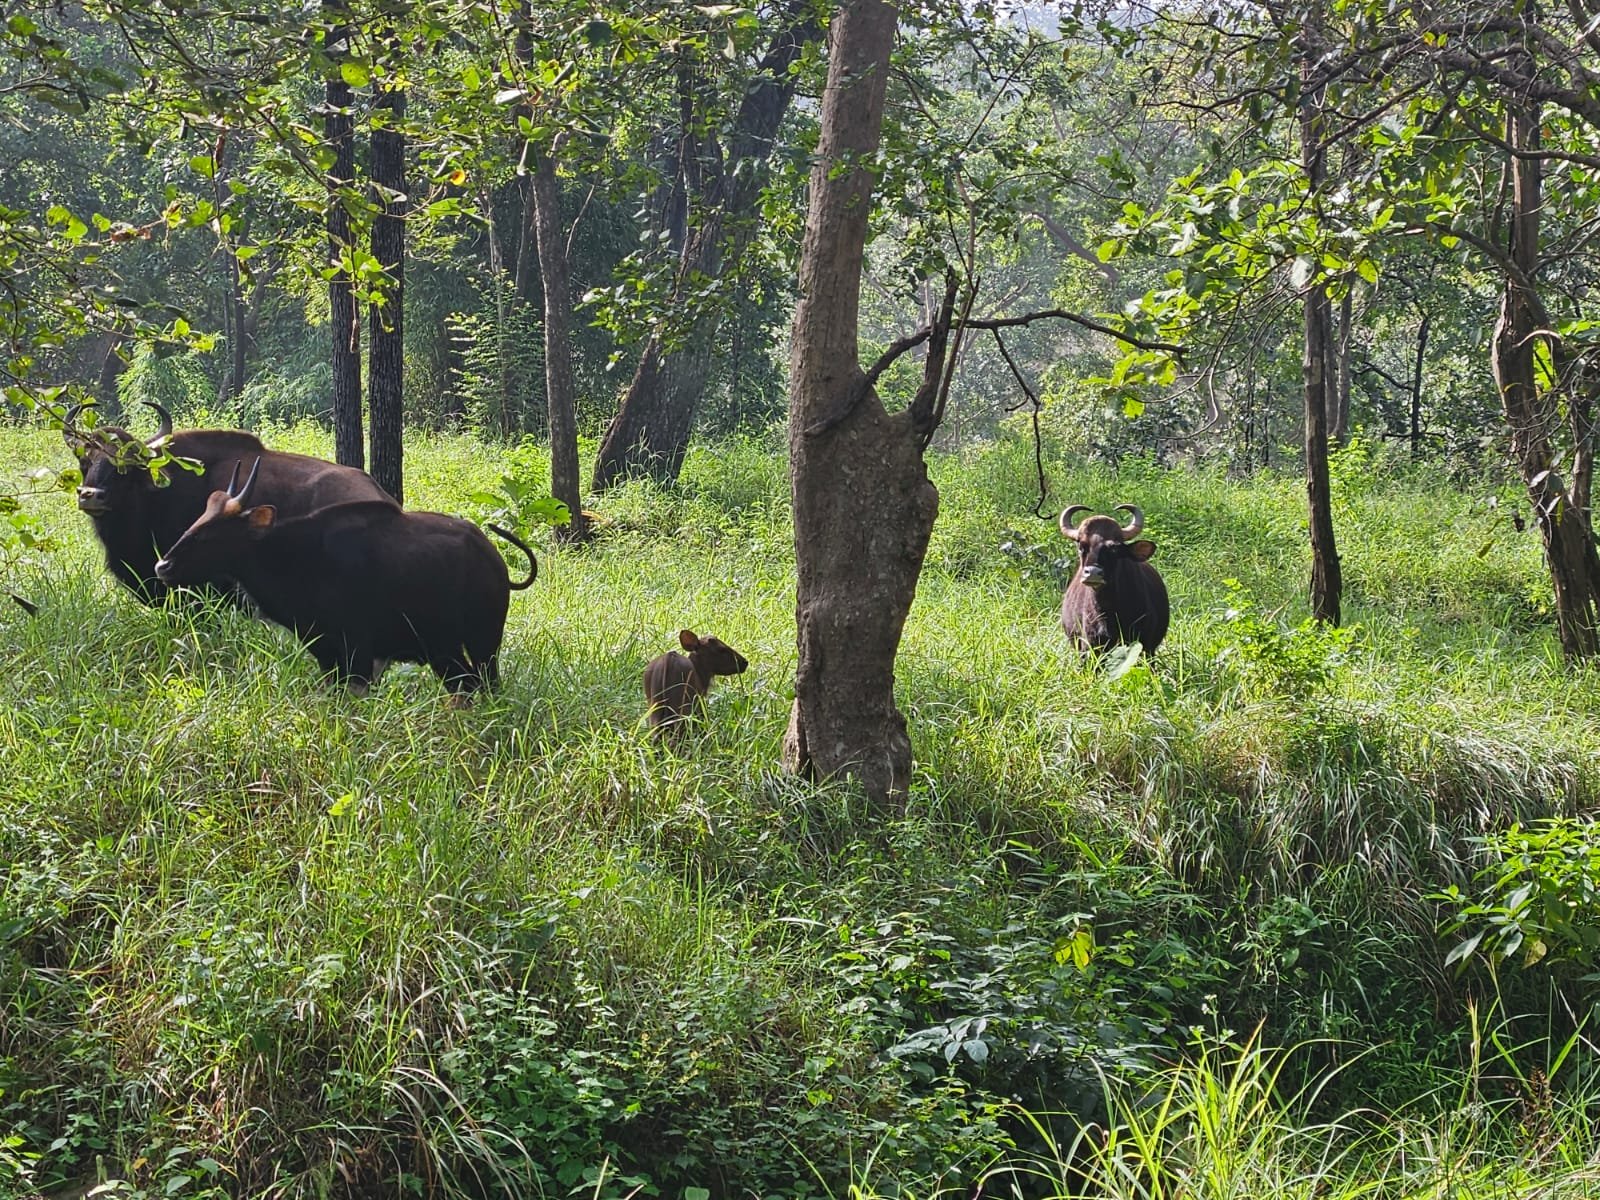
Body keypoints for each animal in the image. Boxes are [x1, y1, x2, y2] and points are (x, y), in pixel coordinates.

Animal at [153, 458, 537, 701]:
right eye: (199, 519)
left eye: (211, 533)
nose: (163, 565)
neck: (296, 559)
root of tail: (494, 561)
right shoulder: (323, 650)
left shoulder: (358, 652)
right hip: (444, 650)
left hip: (483, 640)